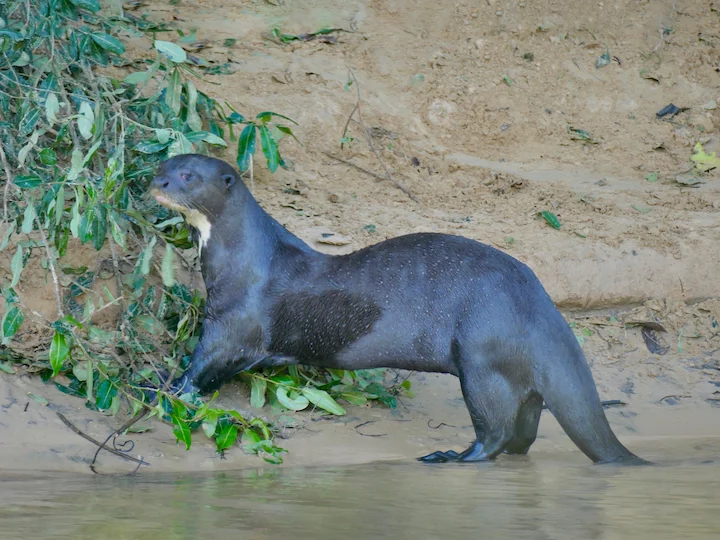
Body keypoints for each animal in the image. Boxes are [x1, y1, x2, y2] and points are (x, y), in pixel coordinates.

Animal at [148, 153, 646, 465]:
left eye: (188, 175)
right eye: (163, 165)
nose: (158, 182)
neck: (246, 260)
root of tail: (539, 303)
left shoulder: (233, 323)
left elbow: (202, 366)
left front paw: (162, 391)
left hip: (482, 352)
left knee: (497, 430)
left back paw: (450, 457)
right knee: (523, 433)